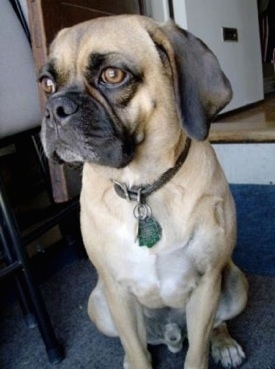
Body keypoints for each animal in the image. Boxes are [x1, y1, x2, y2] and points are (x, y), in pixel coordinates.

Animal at [39, 14, 250, 368]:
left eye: (112, 75)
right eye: (47, 84)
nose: (54, 108)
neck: (143, 186)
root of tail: (170, 335)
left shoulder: (207, 283)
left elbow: (197, 352)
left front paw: (212, 347)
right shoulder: (117, 293)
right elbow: (138, 352)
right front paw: (134, 358)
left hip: (234, 284)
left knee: (215, 326)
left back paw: (223, 344)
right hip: (99, 305)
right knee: (135, 343)